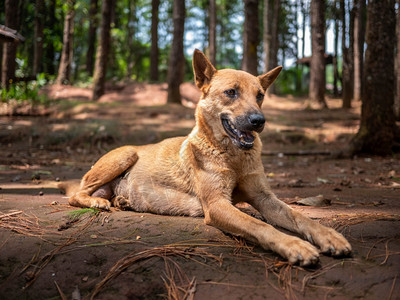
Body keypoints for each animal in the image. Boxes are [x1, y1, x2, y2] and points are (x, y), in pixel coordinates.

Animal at [69, 49, 350, 264]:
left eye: (260, 95)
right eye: (231, 92)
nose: (259, 121)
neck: (234, 156)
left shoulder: (265, 198)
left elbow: (300, 216)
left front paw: (329, 236)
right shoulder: (217, 204)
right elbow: (260, 225)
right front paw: (294, 245)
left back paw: (121, 201)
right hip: (124, 155)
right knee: (75, 195)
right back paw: (98, 202)